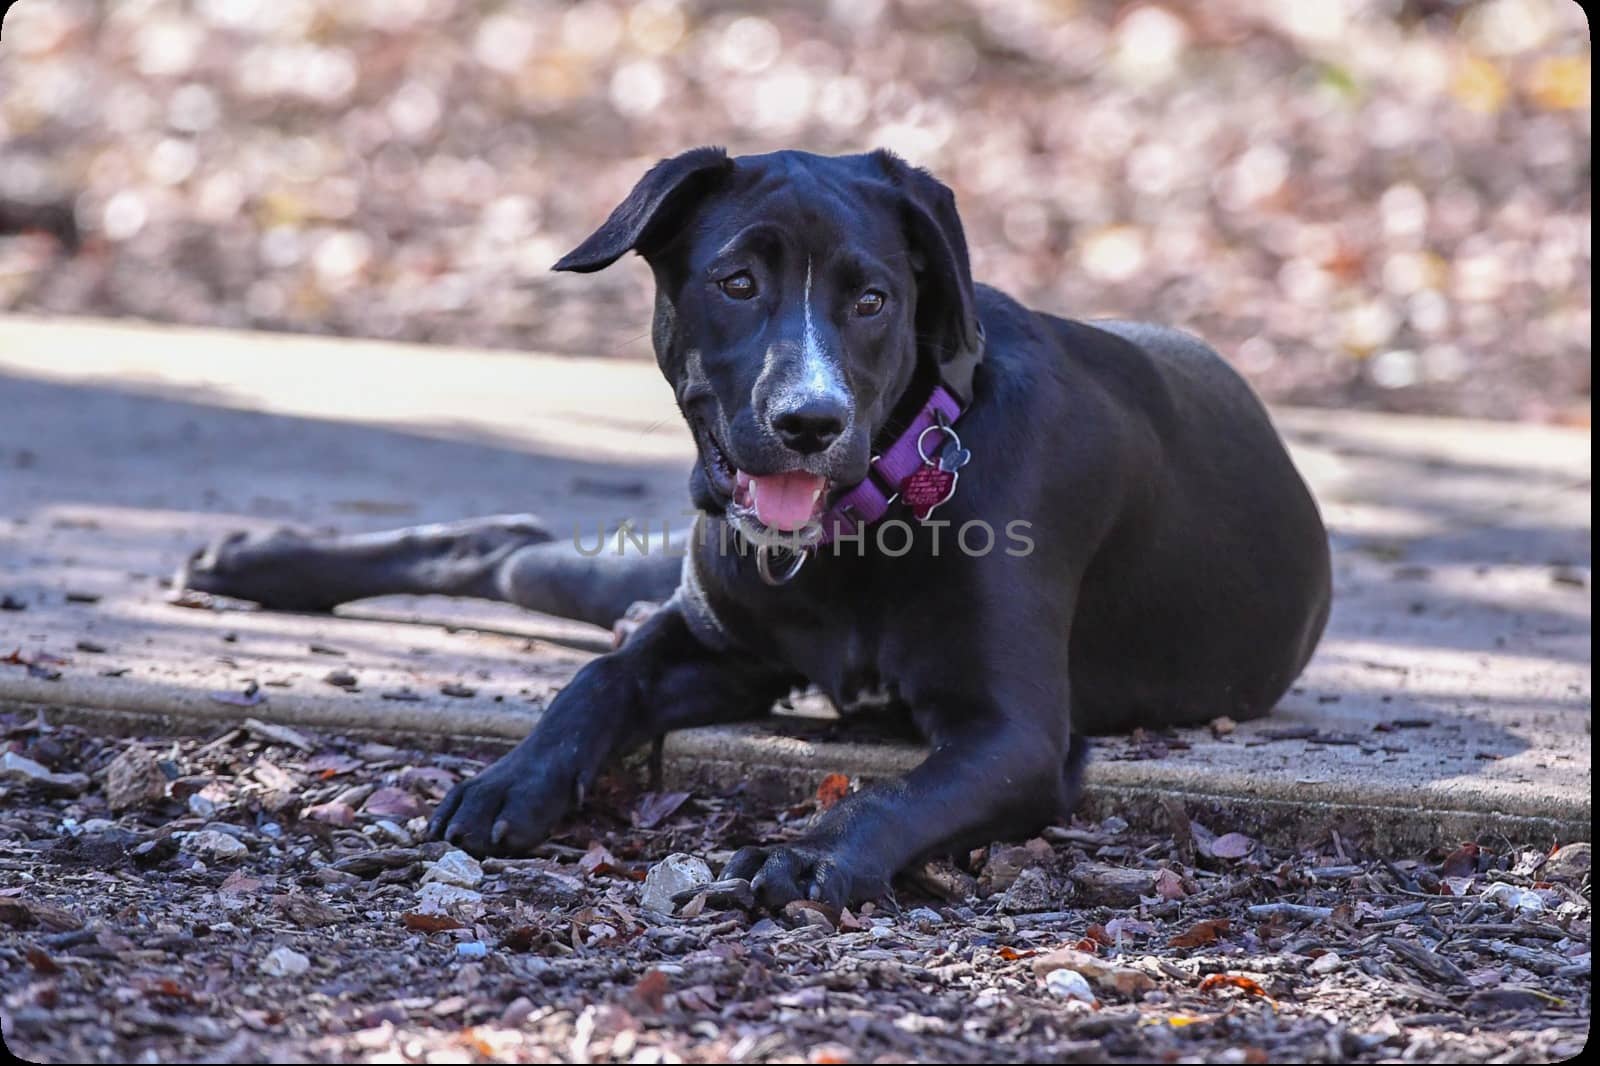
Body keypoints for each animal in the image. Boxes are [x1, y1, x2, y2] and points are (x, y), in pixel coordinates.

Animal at [181, 147, 1331, 902]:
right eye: (736, 282)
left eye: (872, 299)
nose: (807, 421)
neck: (871, 517)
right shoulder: (712, 640)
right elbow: (596, 678)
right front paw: (512, 779)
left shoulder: (1012, 733)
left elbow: (897, 796)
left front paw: (810, 852)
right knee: (506, 548)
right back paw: (252, 559)